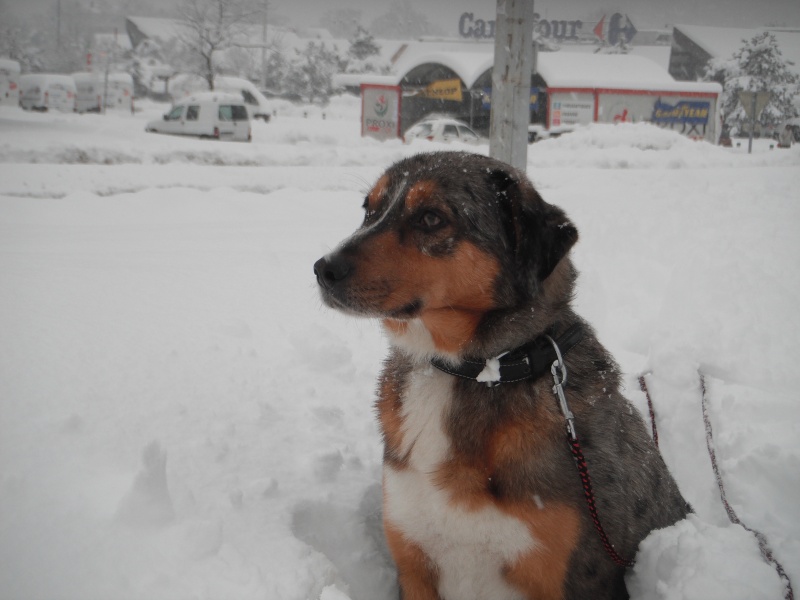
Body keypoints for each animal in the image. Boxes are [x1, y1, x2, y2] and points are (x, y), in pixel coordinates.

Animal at [312, 151, 688, 600]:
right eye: (369, 210)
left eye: (431, 218)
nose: (322, 269)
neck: (473, 372)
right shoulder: (413, 566)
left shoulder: (576, 576)